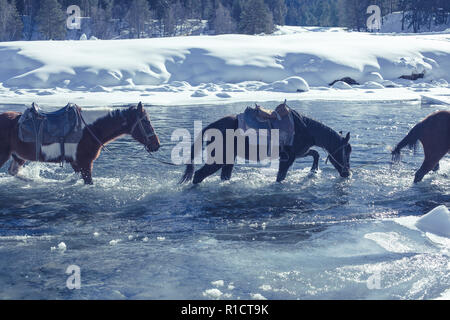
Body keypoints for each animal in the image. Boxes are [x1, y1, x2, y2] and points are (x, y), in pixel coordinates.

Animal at [0, 101, 161, 184]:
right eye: (146, 122)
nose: (156, 145)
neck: (91, 129)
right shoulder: (85, 163)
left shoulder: (77, 163)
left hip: (18, 156)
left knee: (14, 172)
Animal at [179, 101, 352, 184]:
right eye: (346, 151)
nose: (347, 173)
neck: (304, 128)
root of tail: (213, 126)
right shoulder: (287, 158)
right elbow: (280, 177)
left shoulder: (298, 153)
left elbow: (315, 153)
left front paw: (313, 170)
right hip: (218, 159)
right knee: (198, 175)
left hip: (228, 160)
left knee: (224, 176)